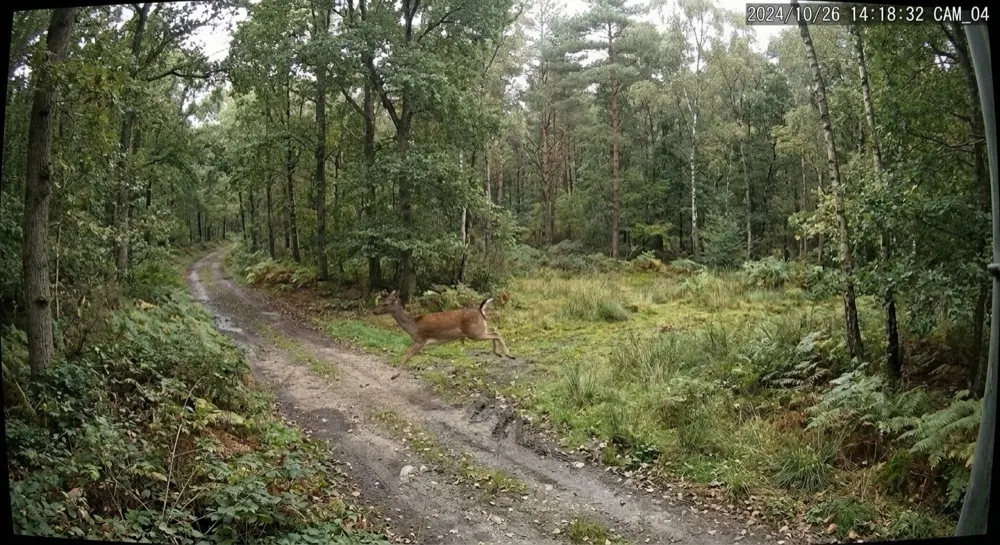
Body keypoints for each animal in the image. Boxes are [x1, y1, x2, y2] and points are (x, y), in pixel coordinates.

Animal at [373, 290, 514, 368]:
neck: (412, 325)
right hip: (479, 329)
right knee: (494, 331)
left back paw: (508, 354)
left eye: (385, 304)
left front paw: (394, 375)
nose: (374, 311)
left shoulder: (420, 340)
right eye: (380, 302)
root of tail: (481, 310)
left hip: (474, 332)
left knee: (496, 334)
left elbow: (407, 355)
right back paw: (499, 353)